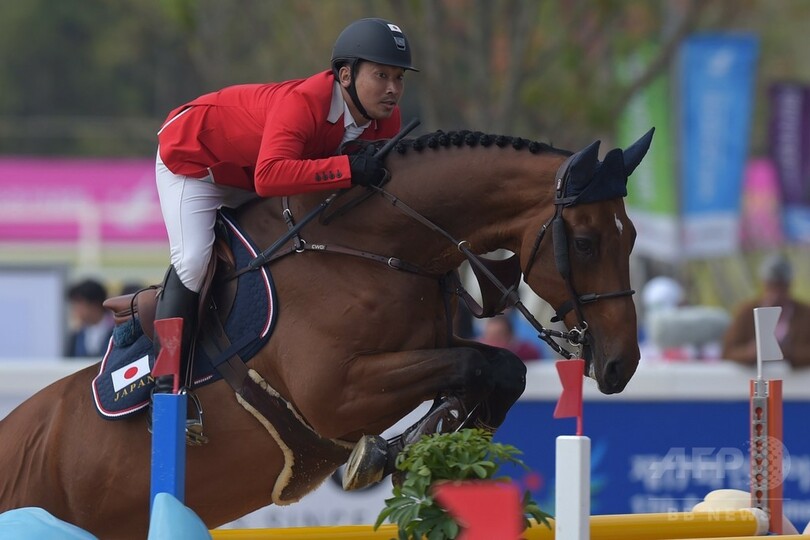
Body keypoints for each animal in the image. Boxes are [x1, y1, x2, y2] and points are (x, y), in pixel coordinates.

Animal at [0, 128, 652, 539]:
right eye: (585, 242)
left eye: (633, 238)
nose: (621, 365)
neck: (372, 249)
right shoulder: (335, 393)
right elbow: (478, 368)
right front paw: (385, 453)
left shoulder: (428, 345)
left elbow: (501, 370)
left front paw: (428, 446)